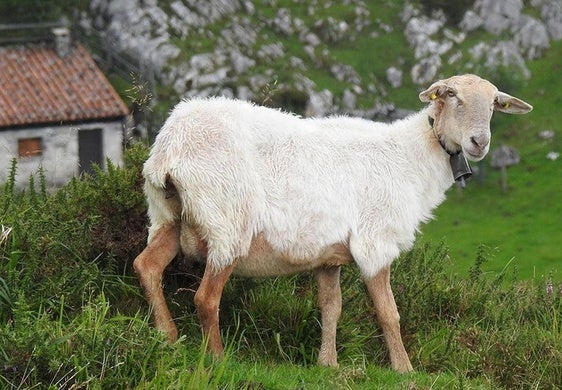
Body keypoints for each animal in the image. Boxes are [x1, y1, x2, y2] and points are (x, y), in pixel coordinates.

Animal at [133, 74, 532, 372]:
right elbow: (388, 312)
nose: (479, 142)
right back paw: (217, 359)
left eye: (495, 103)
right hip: (226, 221)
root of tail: (170, 146)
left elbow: (331, 307)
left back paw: (167, 337)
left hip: (168, 215)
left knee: (147, 266)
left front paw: (328, 363)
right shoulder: (375, 243)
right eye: (452, 96)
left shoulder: (328, 255)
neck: (412, 157)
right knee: (205, 298)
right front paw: (404, 369)